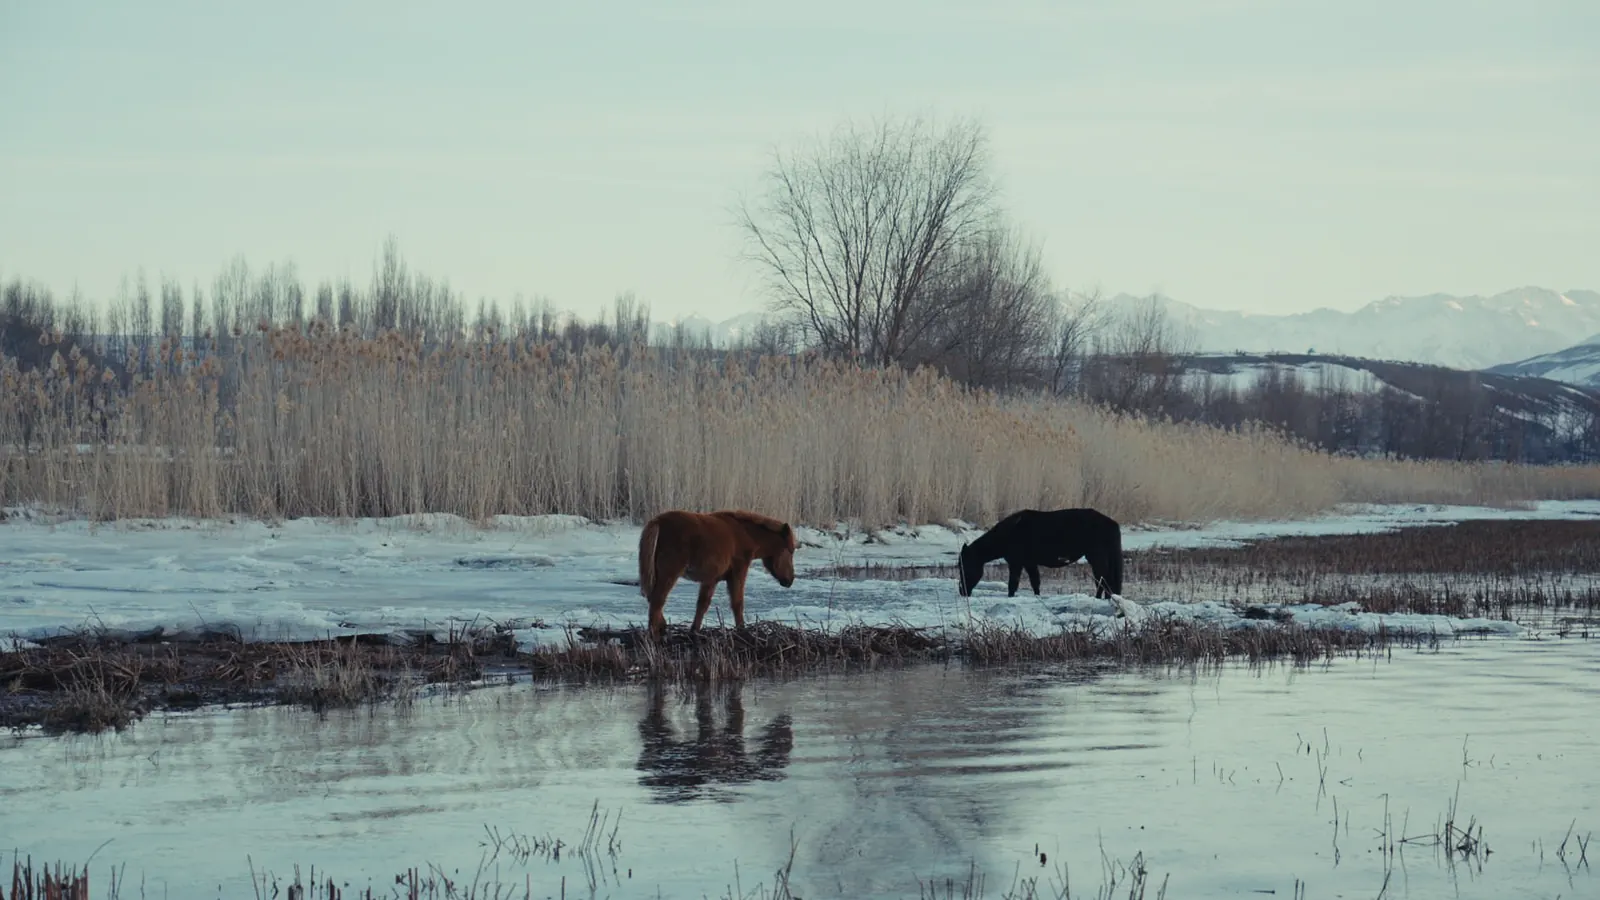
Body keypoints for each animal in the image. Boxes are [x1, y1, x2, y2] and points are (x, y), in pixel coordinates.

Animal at [638, 509, 799, 641]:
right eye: (790, 550)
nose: (790, 580)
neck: (744, 534)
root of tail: (658, 521)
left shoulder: (712, 579)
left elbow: (702, 604)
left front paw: (694, 632)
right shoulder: (738, 572)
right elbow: (737, 603)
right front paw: (742, 631)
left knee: (653, 599)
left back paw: (662, 627)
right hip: (669, 574)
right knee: (657, 600)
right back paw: (655, 636)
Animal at [957, 508, 1123, 599]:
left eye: (965, 565)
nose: (962, 591)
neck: (1008, 532)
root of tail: (1112, 524)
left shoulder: (1016, 563)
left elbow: (1013, 584)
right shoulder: (1030, 563)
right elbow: (1035, 583)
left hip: (1096, 557)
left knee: (1102, 579)